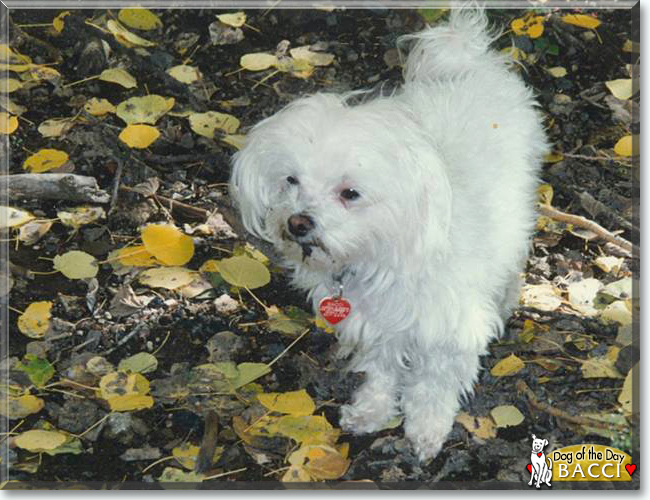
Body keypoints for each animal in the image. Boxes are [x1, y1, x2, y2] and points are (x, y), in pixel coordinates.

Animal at [228, 8, 548, 460]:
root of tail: (469, 61)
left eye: (350, 193)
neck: (378, 253)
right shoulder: (375, 324)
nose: (298, 223)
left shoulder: (448, 328)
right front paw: (372, 411)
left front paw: (427, 427)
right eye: (291, 180)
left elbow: (434, 383)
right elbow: (381, 370)